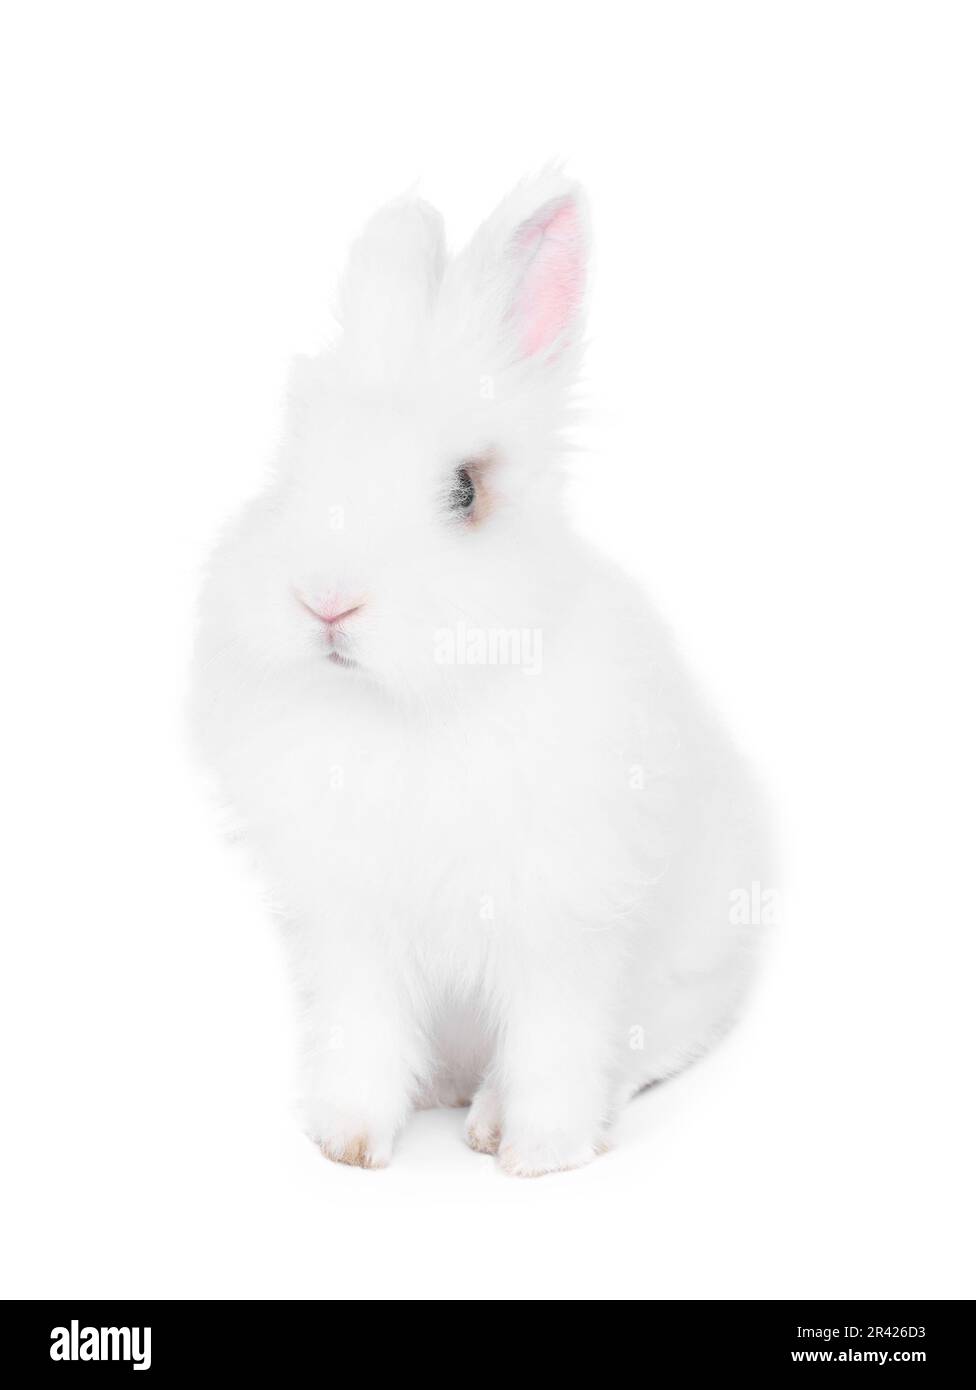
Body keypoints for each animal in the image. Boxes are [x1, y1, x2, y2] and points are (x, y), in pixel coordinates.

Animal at [190, 168, 768, 1177]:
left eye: (465, 489)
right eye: (292, 466)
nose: (326, 601)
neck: (411, 710)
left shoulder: (562, 926)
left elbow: (555, 1043)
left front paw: (538, 1154)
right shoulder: (352, 930)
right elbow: (363, 1038)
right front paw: (348, 1144)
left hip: (686, 974)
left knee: (642, 1049)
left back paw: (497, 1117)